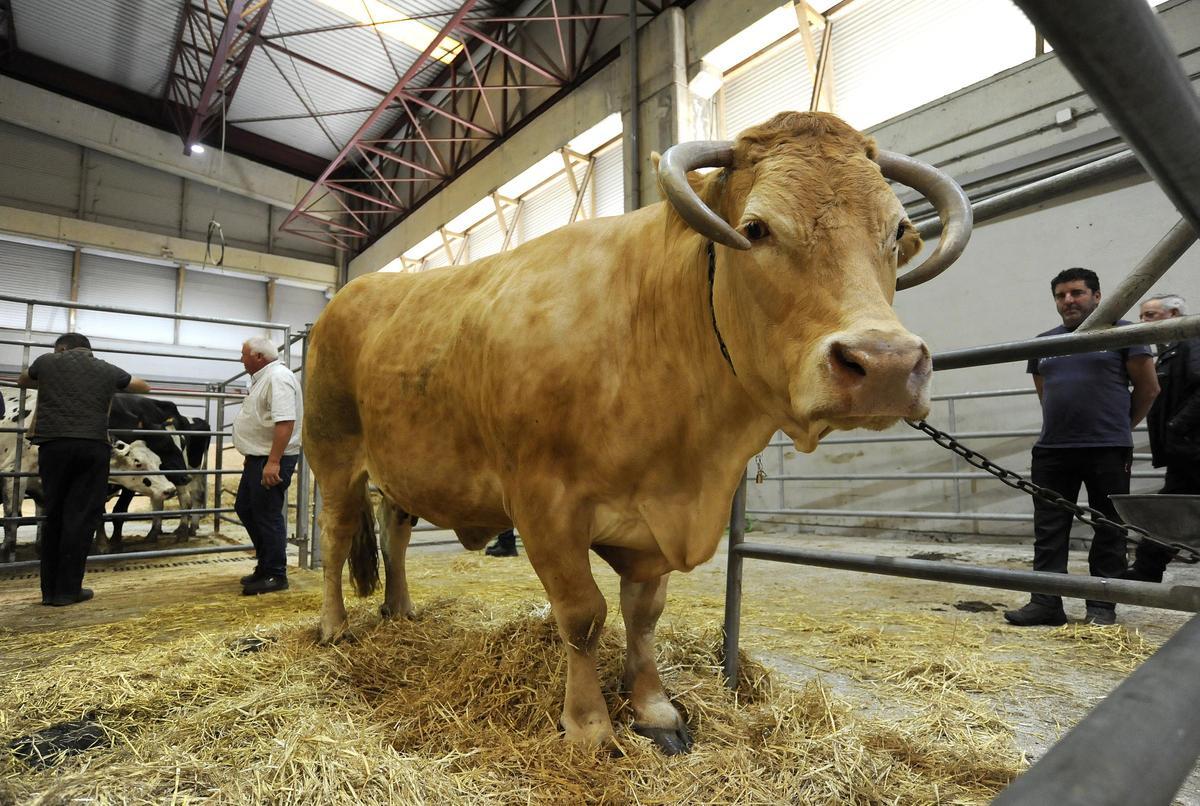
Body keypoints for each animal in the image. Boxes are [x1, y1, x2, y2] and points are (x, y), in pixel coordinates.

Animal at [302, 112, 972, 753]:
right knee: (335, 539)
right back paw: (335, 627)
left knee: (394, 533)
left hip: (403, 467)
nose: (884, 363)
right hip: (332, 454)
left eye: (896, 233)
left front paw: (653, 708)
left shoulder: (655, 526)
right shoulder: (544, 505)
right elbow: (583, 614)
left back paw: (400, 611)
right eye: (756, 229)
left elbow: (644, 614)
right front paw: (589, 726)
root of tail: (351, 292)